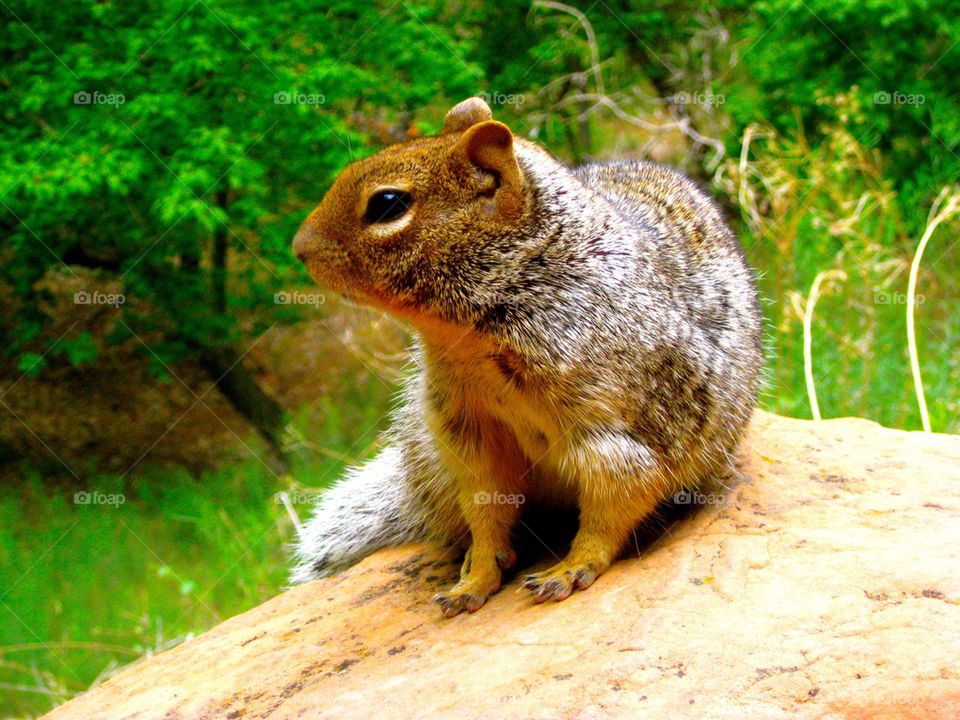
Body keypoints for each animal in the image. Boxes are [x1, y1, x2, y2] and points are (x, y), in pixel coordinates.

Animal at [290, 97, 763, 617]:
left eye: (387, 204)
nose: (299, 248)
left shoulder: (617, 432)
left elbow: (615, 503)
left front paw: (571, 568)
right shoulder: (468, 431)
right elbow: (486, 507)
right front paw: (476, 577)